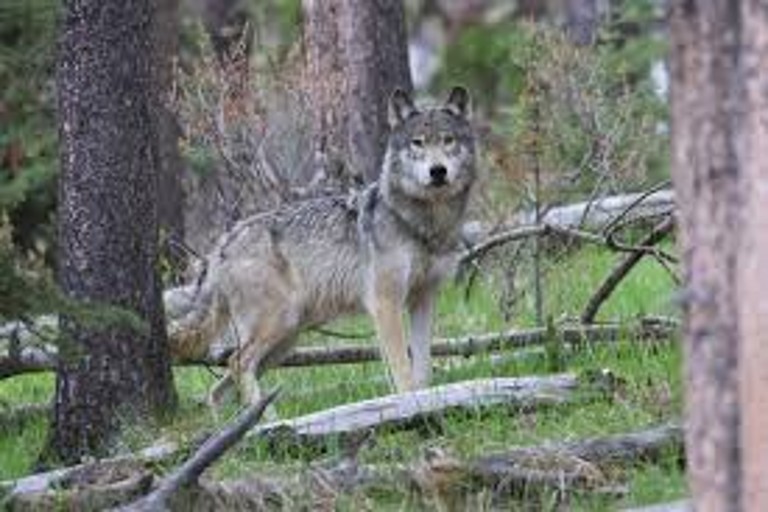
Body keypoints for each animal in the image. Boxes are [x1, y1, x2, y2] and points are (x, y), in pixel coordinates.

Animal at [165, 86, 477, 410]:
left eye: (448, 140)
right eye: (418, 143)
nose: (437, 171)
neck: (420, 223)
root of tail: (224, 241)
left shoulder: (424, 299)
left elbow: (423, 369)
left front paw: (426, 404)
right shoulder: (385, 303)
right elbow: (402, 370)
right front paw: (408, 404)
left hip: (286, 341)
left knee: (218, 389)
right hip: (278, 325)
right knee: (238, 363)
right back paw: (271, 417)